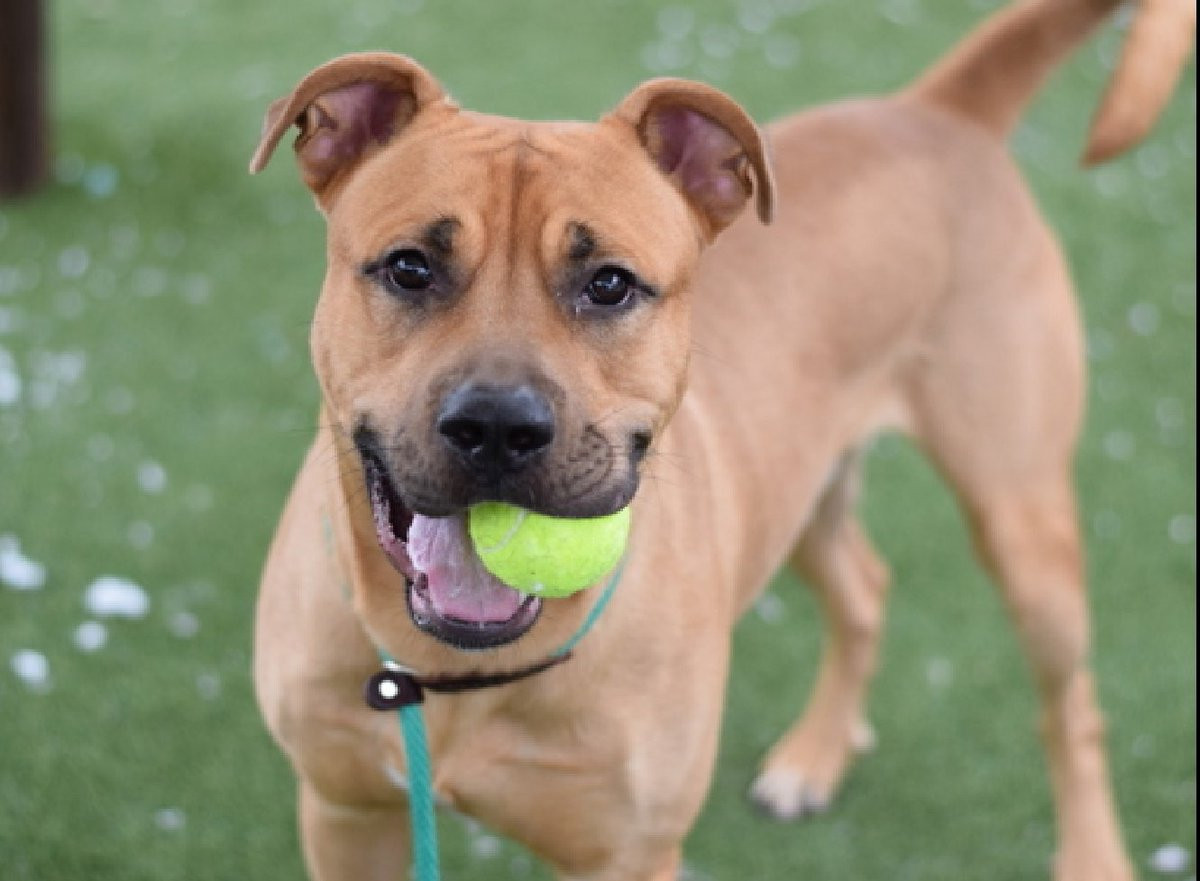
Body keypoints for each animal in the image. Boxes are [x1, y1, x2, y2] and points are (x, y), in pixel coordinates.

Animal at [249, 1, 1194, 878]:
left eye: (610, 284)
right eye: (410, 266)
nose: (497, 427)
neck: (454, 671)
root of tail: (938, 111)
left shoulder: (629, 853)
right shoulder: (344, 814)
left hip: (1022, 524)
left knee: (1072, 709)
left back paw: (1091, 852)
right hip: (800, 485)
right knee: (864, 587)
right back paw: (815, 756)